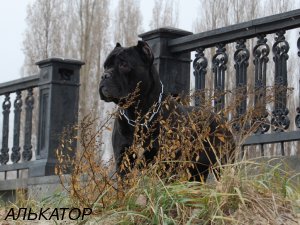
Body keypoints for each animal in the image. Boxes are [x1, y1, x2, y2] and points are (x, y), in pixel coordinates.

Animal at [99, 40, 234, 181]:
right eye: (105, 66)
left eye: (123, 64)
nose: (104, 75)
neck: (137, 115)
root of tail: (222, 120)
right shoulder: (123, 161)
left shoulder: (165, 162)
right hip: (196, 171)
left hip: (223, 163)